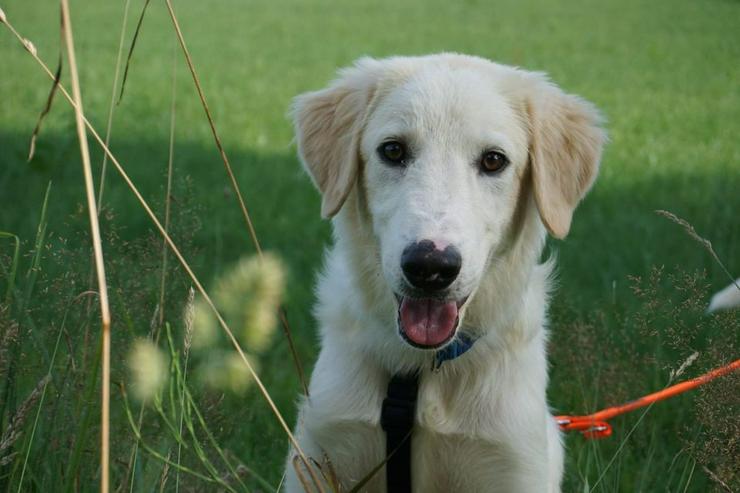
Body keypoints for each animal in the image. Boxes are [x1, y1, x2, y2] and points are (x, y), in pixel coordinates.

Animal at [284, 54, 608, 492]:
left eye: (493, 160)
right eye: (393, 150)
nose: (430, 267)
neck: (421, 372)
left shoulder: (512, 466)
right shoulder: (319, 457)